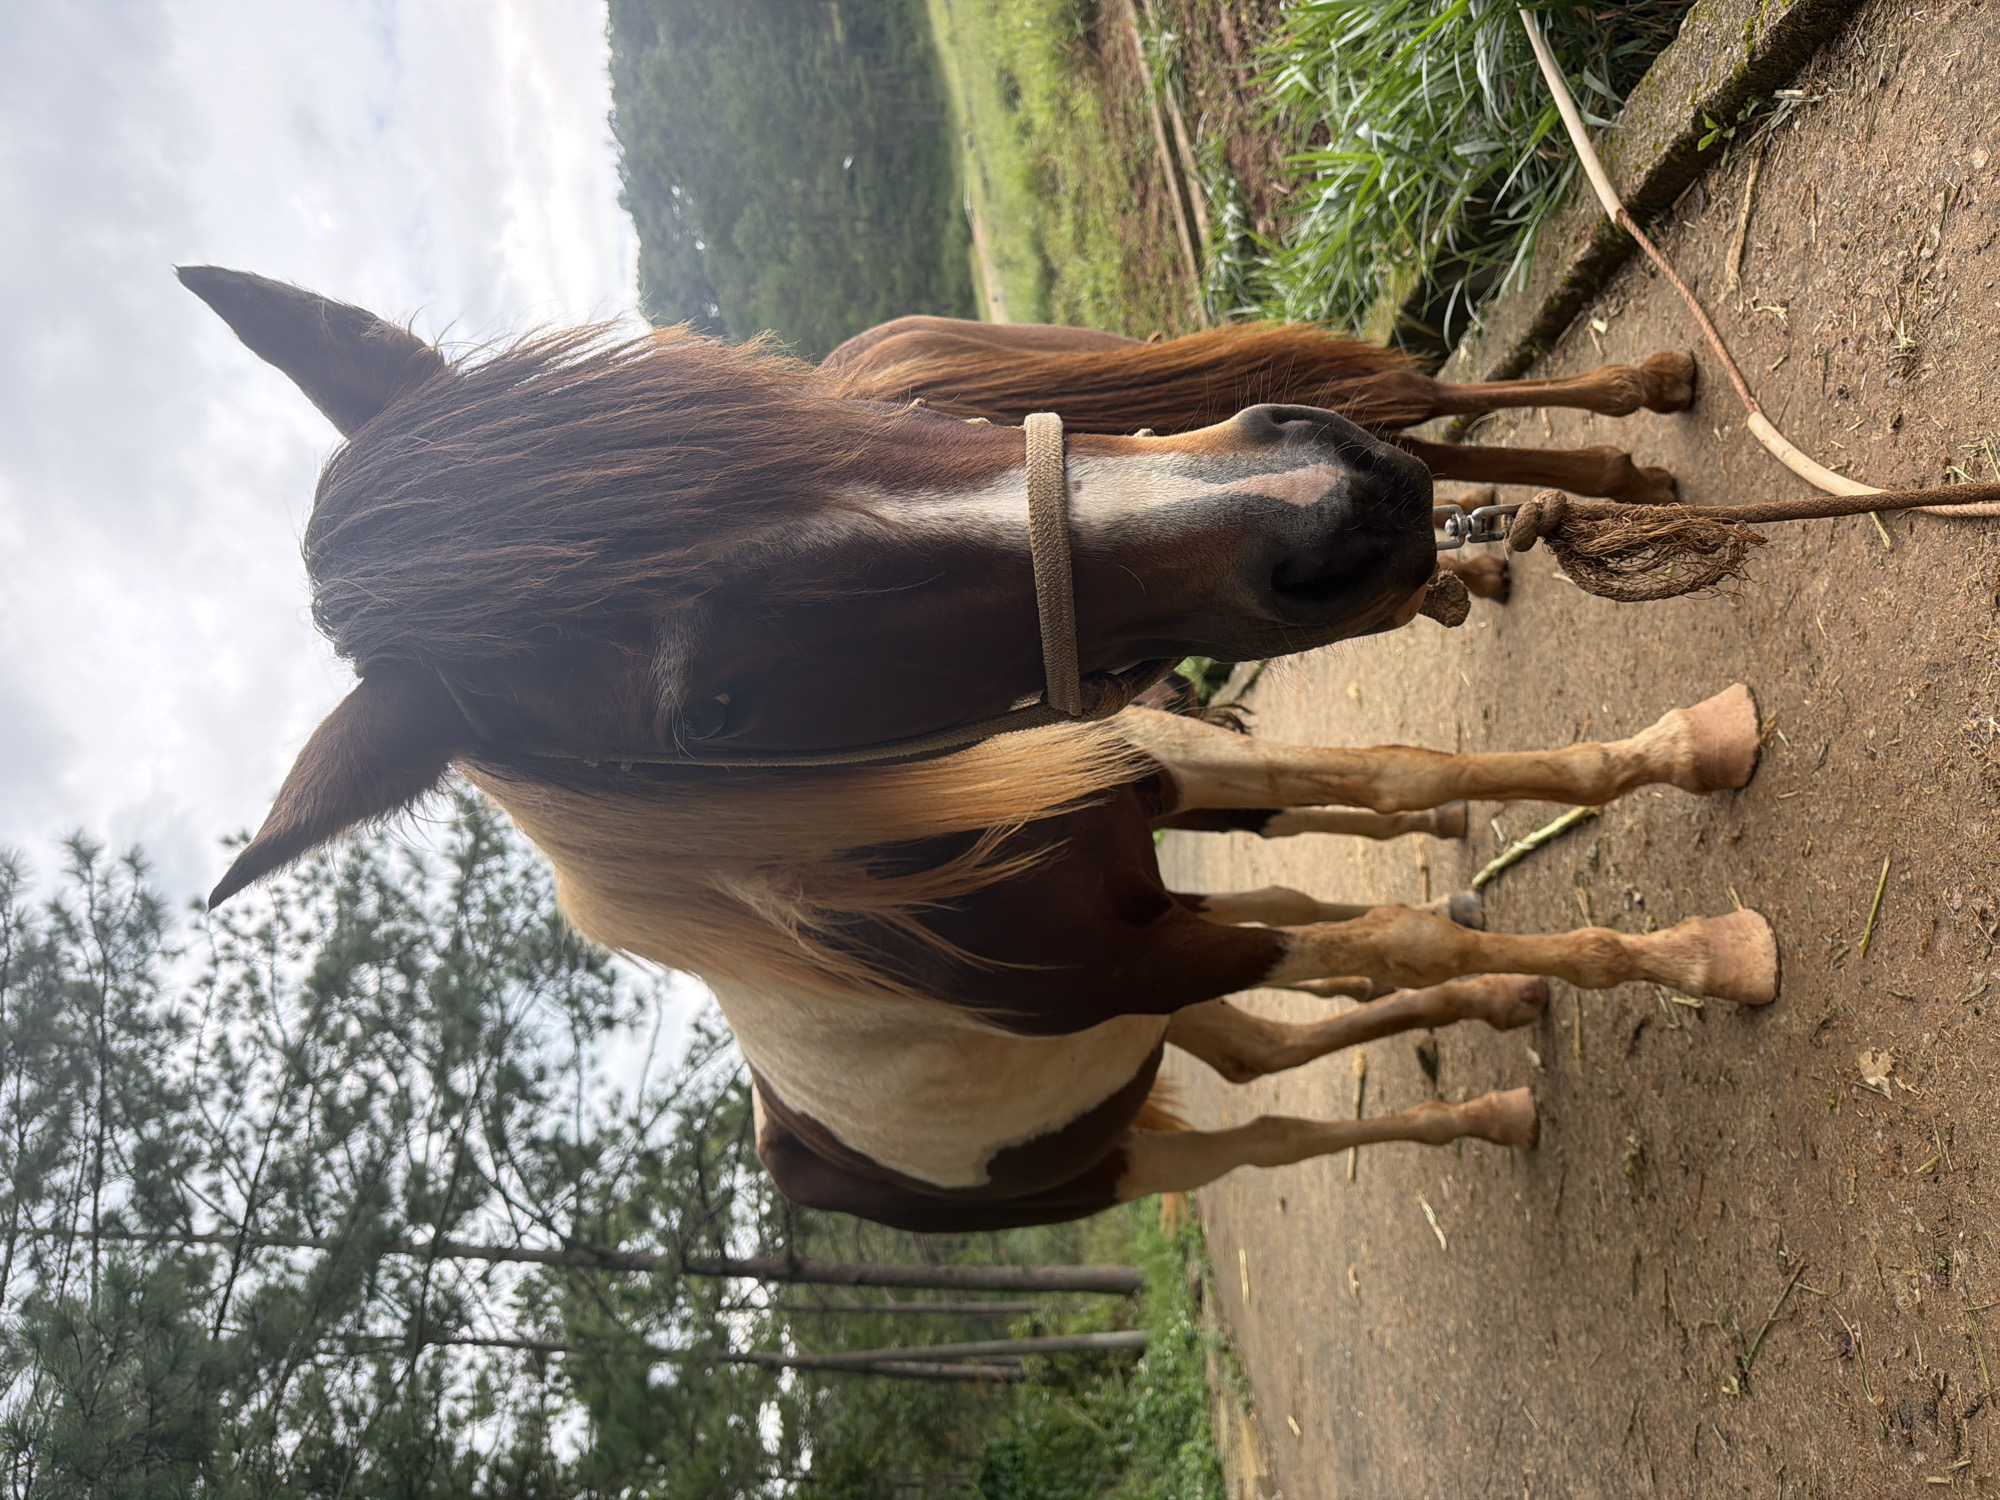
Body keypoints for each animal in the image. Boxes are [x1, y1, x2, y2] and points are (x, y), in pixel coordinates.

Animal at [182, 267, 1777, 1231]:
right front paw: (1700, 955)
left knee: (1276, 1035)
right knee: (1277, 1118)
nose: (1334, 501)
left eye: (756, 415)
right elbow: (1384, 932)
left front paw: (1686, 748)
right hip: (1129, 1141)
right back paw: (1495, 1082)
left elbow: (1397, 782)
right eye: (711, 714)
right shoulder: (1156, 954)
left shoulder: (1145, 781)